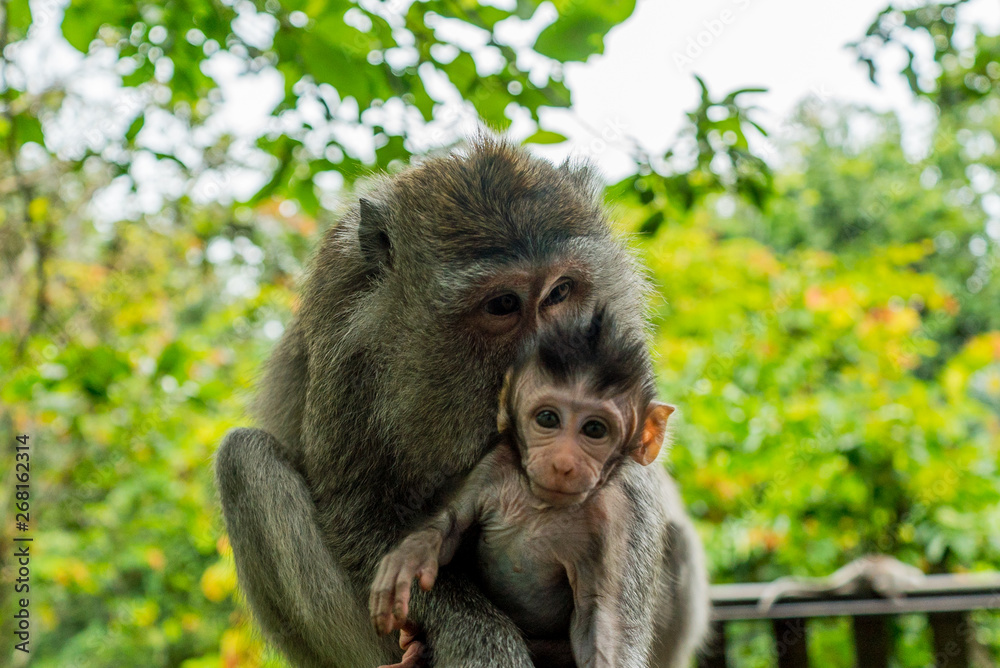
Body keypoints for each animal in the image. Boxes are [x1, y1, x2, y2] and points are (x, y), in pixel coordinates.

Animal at [369, 309, 706, 668]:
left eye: (595, 429)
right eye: (547, 418)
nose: (562, 463)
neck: (541, 506)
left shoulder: (614, 520)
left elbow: (599, 620)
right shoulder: (495, 466)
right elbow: (451, 526)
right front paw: (408, 559)